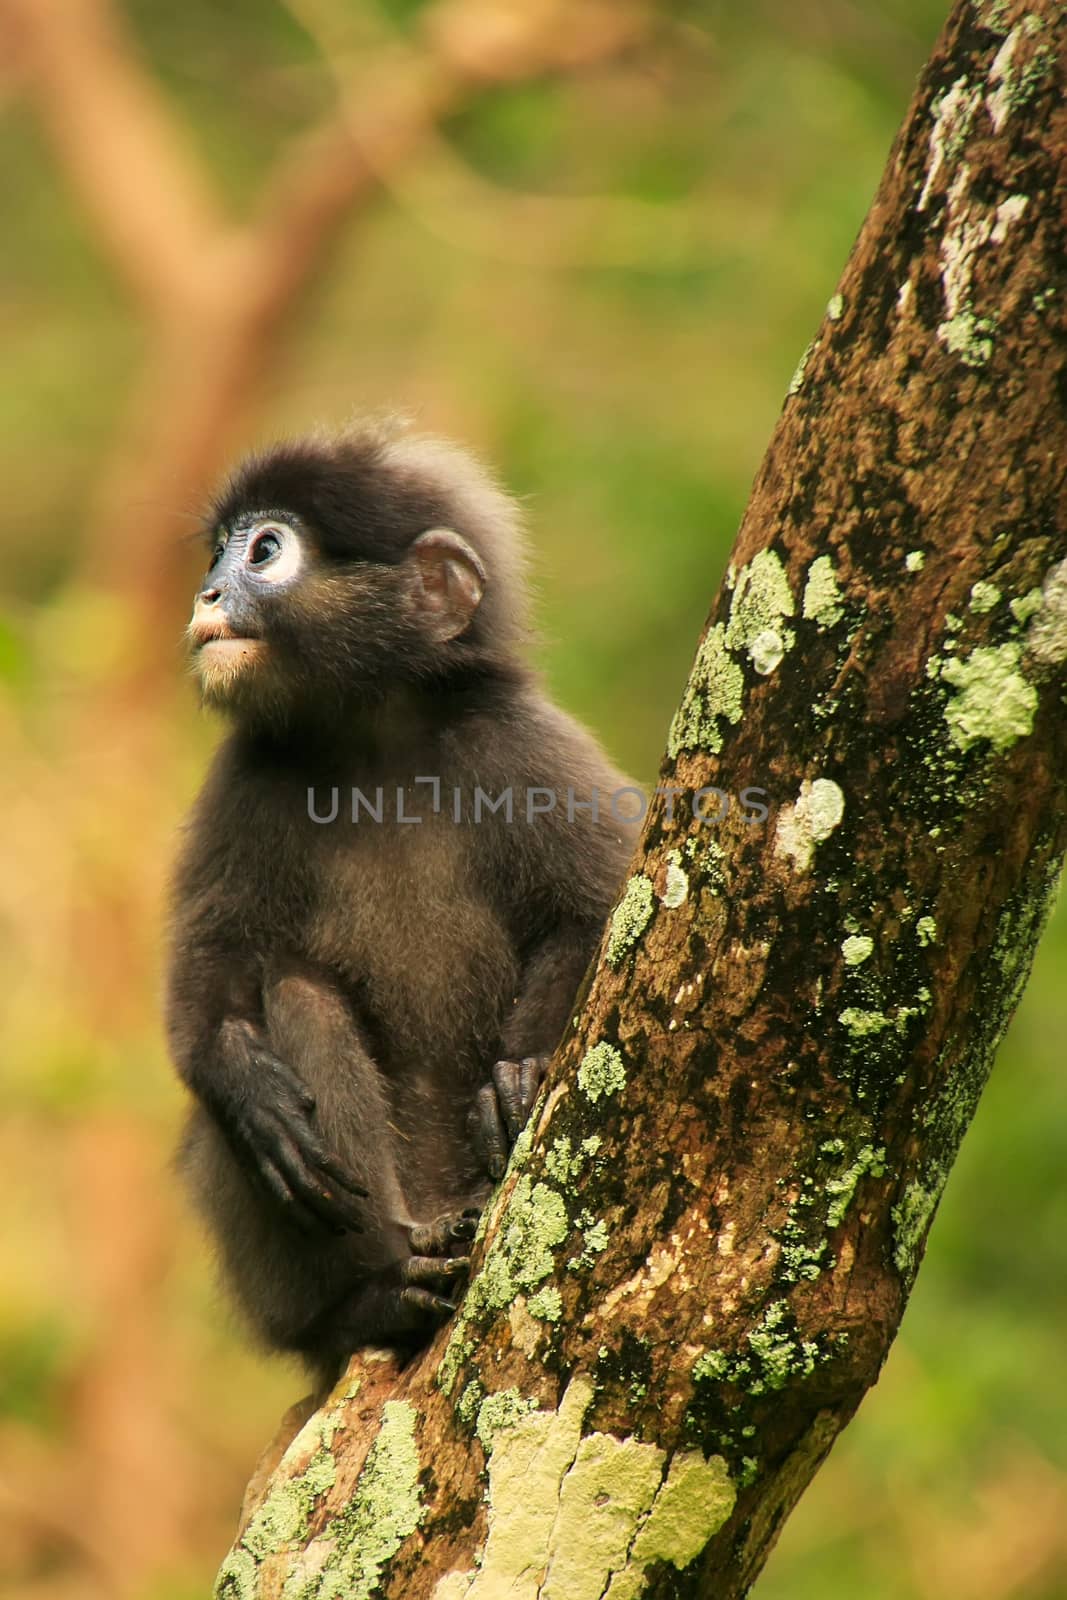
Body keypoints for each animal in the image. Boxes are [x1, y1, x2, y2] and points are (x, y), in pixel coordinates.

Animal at [163, 425, 639, 1388]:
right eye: (219, 549)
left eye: (264, 550)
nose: (207, 593)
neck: (371, 737)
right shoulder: (244, 778)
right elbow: (205, 982)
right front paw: (248, 1091)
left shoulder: (520, 743)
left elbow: (599, 910)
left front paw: (520, 1073)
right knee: (295, 993)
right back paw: (381, 1296)